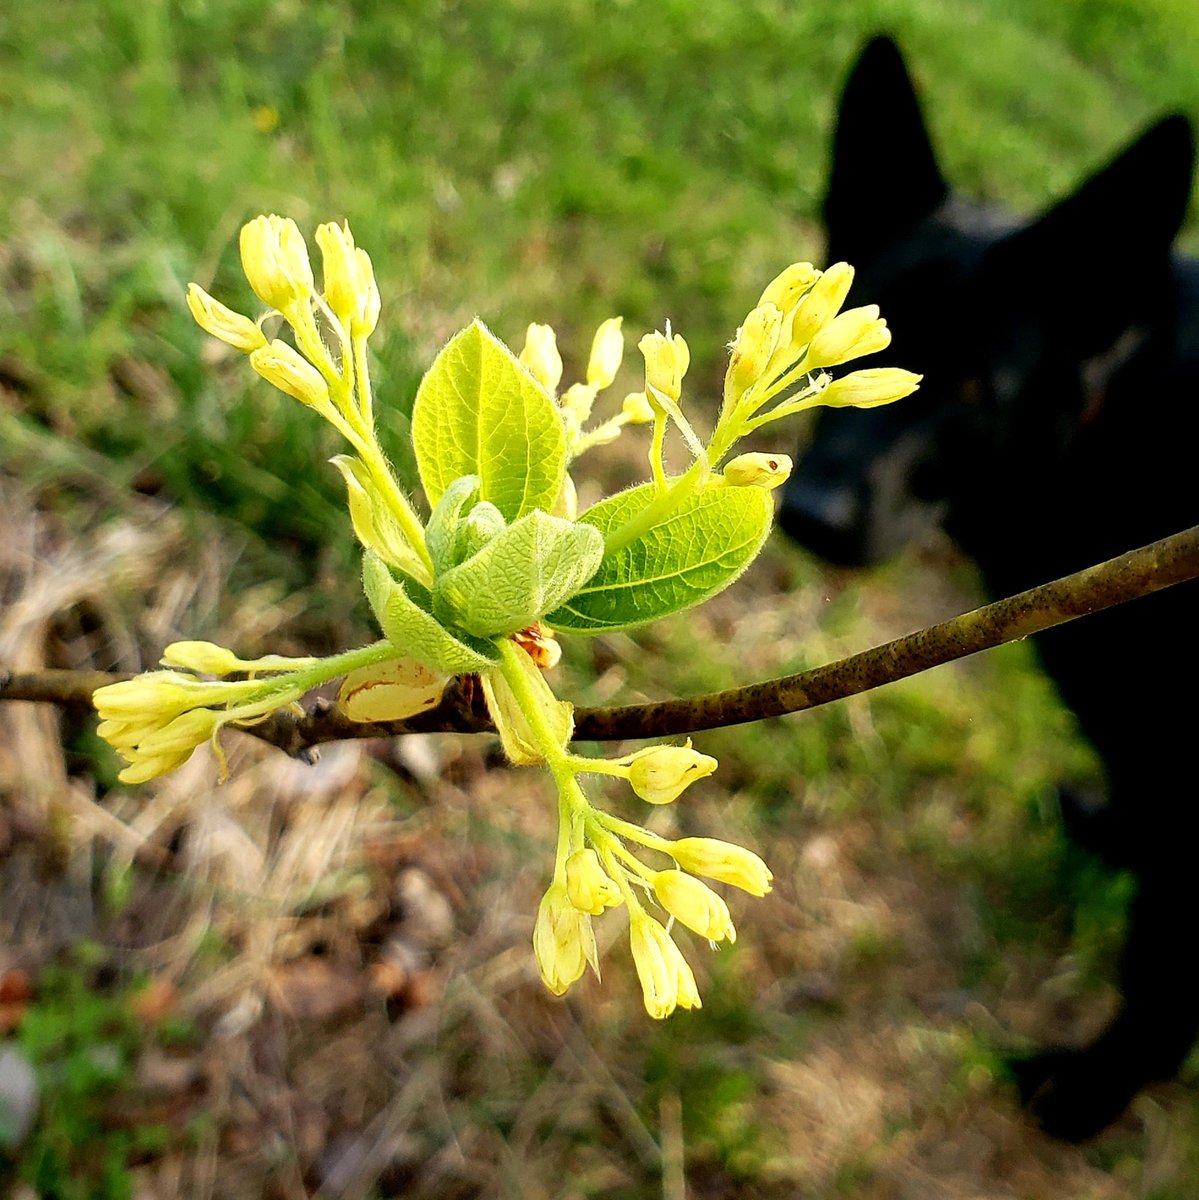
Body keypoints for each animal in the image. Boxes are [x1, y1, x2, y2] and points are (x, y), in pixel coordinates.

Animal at [782, 39, 1195, 1142]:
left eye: (970, 389)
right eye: (831, 361)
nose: (808, 517)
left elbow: (1161, 965)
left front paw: (1091, 1092)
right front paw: (1111, 834)